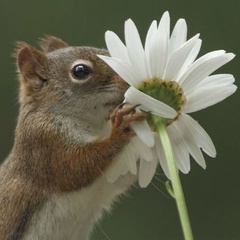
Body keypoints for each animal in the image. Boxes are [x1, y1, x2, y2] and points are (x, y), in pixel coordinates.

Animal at [0, 36, 144, 240]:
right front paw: (119, 129)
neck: (93, 125)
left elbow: (126, 176)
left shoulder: (108, 181)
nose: (131, 79)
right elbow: (76, 167)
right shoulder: (45, 143)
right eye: (80, 71)